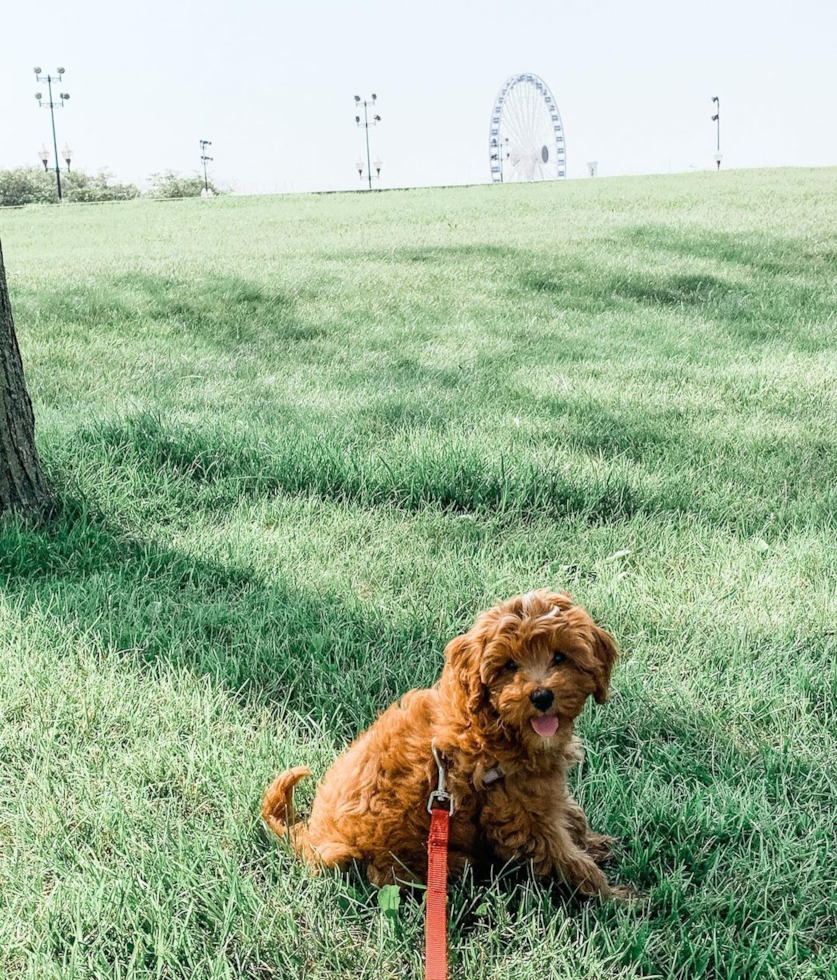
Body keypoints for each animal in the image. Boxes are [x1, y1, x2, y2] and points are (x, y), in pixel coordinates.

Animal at [262, 584, 628, 900]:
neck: (491, 721)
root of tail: (314, 840)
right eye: (509, 665)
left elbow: (570, 814)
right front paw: (615, 897)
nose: (541, 696)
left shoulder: (540, 790)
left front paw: (593, 842)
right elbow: (563, 856)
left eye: (559, 657)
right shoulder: (520, 814)